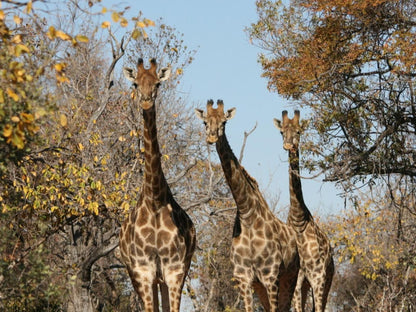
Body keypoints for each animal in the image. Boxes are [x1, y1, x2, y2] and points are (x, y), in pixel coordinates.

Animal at [118, 58, 197, 312]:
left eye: (158, 84)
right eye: (135, 83)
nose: (145, 99)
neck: (154, 200)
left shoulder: (174, 269)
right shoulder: (143, 270)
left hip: (166, 275)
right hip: (138, 274)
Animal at [195, 100, 300, 312]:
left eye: (224, 122)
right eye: (205, 122)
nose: (211, 137)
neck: (247, 213)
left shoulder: (270, 275)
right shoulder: (244, 278)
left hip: (290, 277)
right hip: (262, 285)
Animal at [272, 110, 334, 312]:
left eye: (299, 131)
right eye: (282, 132)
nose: (288, 145)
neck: (299, 219)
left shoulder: (318, 277)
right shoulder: (298, 279)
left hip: (328, 280)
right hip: (308, 284)